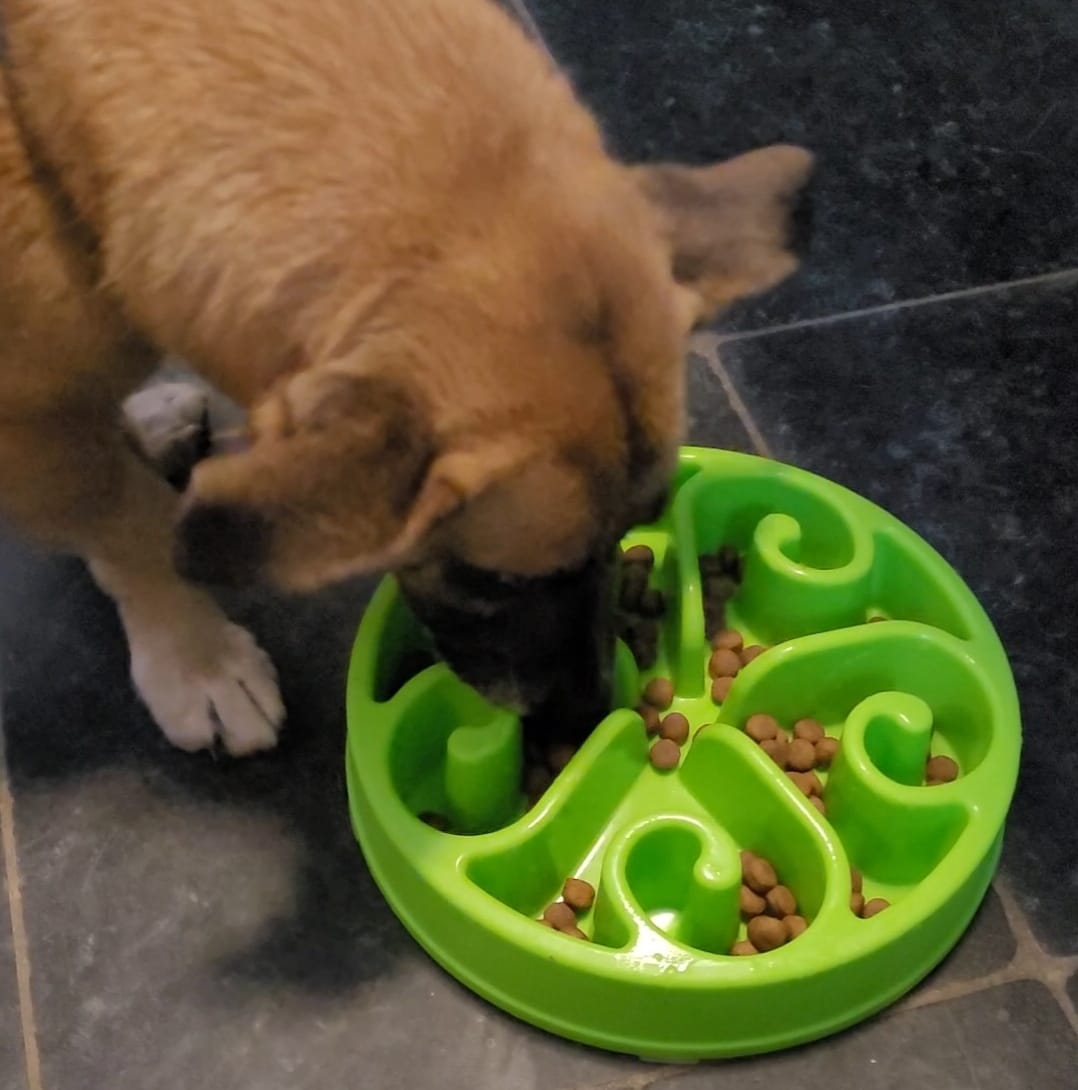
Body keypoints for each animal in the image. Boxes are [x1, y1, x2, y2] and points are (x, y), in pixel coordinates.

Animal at [0, 0, 806, 754]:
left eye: (627, 537)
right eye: (493, 581)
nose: (583, 721)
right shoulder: (32, 442)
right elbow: (132, 527)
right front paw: (197, 658)